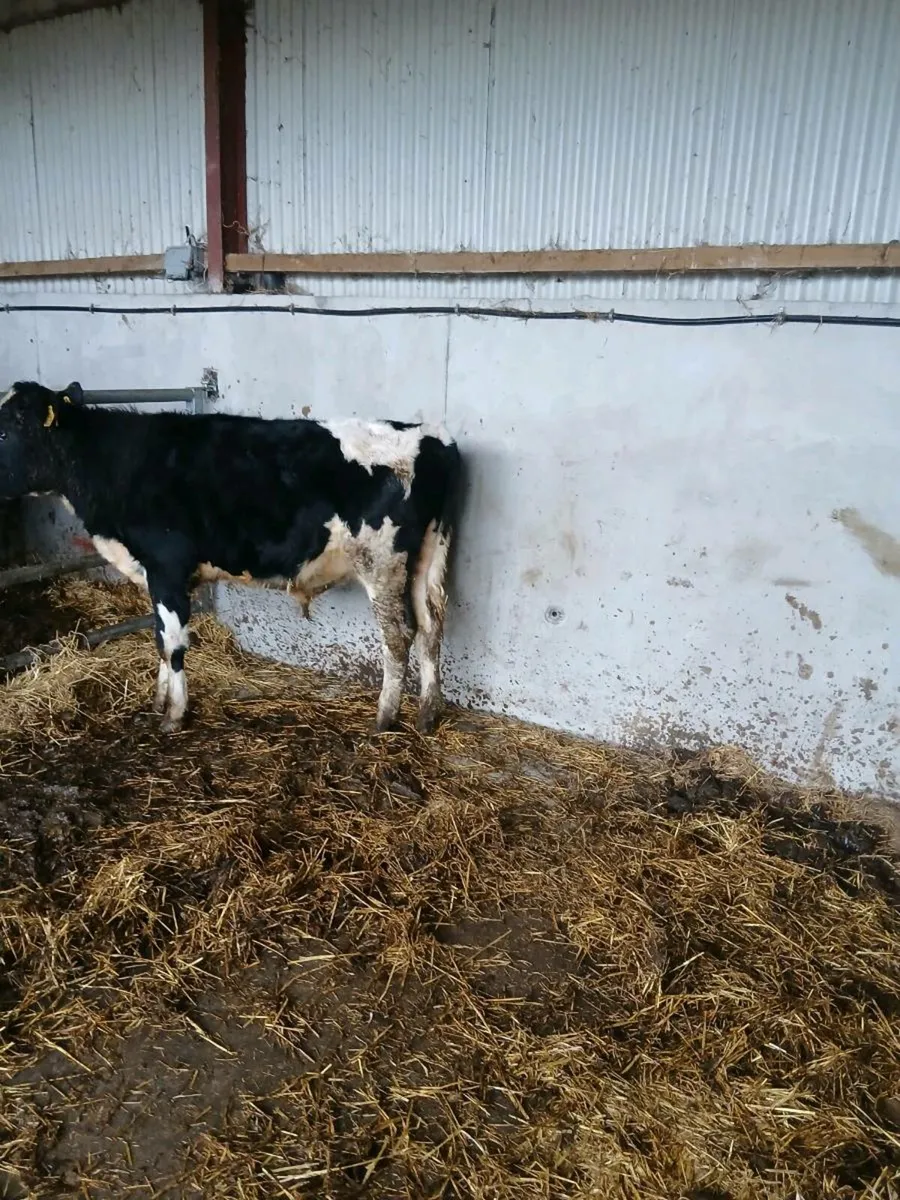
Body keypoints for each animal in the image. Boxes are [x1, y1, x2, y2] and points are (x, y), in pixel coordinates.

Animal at [0, 381, 461, 735]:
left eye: (7, 430)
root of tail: (431, 435)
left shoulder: (167, 565)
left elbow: (173, 645)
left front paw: (174, 716)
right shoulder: (156, 574)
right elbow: (158, 638)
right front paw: (159, 702)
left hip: (380, 562)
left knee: (398, 636)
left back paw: (384, 718)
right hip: (426, 557)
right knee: (431, 627)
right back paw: (427, 714)